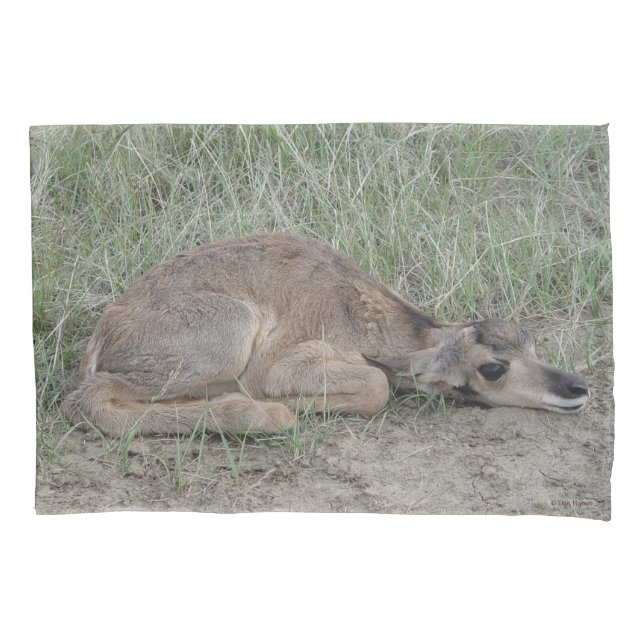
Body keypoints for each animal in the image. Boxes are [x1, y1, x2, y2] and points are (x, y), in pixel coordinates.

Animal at [62, 233, 590, 436]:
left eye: (531, 340)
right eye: (493, 368)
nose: (577, 388)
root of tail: (105, 331)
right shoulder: (279, 366)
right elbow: (377, 385)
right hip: (228, 334)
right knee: (89, 398)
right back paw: (263, 415)